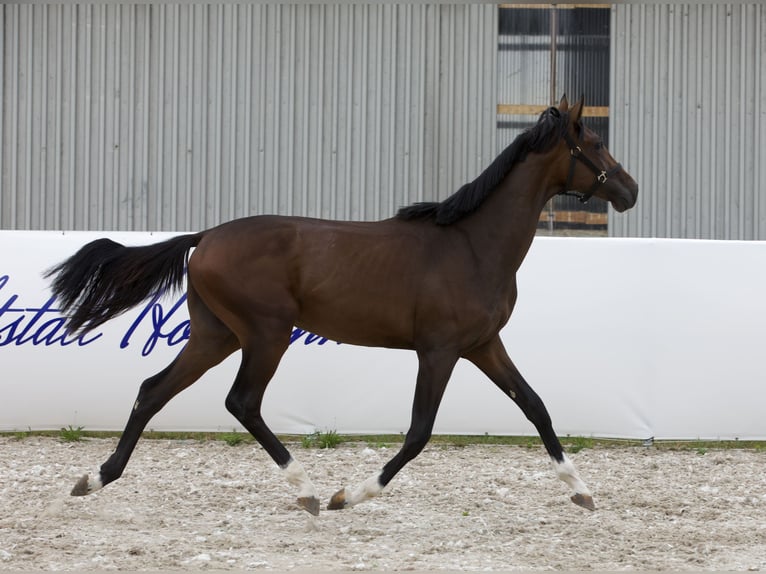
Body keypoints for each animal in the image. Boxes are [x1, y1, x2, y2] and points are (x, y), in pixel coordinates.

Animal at [45, 95, 640, 516]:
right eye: (596, 143)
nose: (630, 190)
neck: (473, 245)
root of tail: (205, 237)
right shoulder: (439, 350)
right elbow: (419, 431)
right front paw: (348, 496)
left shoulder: (483, 345)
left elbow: (536, 406)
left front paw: (582, 492)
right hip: (265, 333)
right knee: (242, 402)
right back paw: (306, 490)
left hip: (216, 335)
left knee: (153, 391)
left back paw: (94, 479)